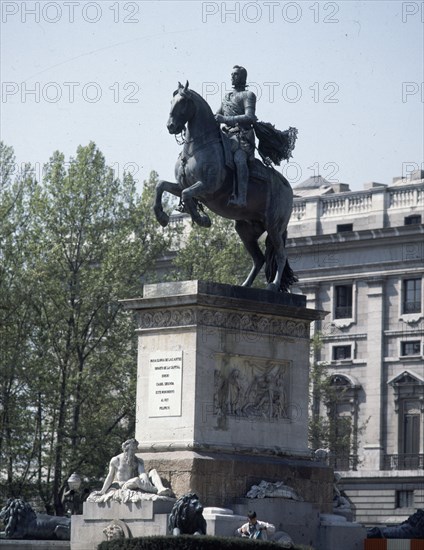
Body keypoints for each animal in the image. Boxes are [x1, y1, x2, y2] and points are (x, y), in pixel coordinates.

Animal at [154, 81, 296, 294]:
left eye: (183, 101)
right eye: (172, 100)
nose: (171, 126)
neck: (197, 148)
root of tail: (288, 188)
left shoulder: (208, 187)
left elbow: (187, 195)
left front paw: (202, 219)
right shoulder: (182, 185)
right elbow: (161, 185)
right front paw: (162, 216)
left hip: (274, 226)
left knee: (280, 255)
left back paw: (272, 285)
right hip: (246, 229)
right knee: (259, 259)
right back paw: (244, 286)